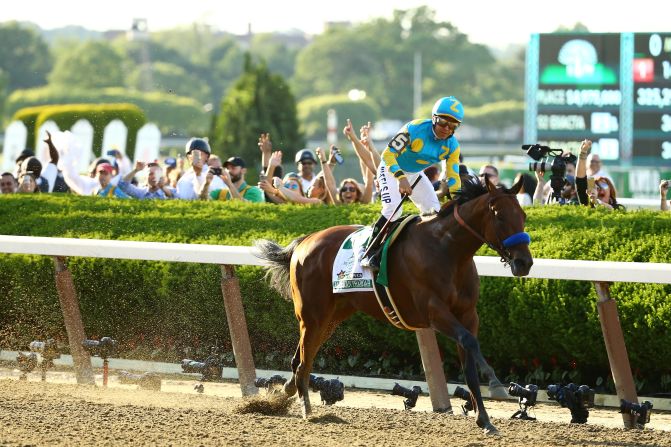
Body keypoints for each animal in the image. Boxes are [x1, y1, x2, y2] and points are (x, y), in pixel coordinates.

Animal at [255, 178, 532, 434]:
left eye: (523, 215)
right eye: (499, 216)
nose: (524, 262)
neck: (447, 251)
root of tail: (305, 241)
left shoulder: (468, 314)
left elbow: (469, 362)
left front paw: (484, 419)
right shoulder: (433, 311)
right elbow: (469, 341)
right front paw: (496, 383)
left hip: (332, 317)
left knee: (300, 358)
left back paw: (289, 388)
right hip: (312, 315)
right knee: (304, 361)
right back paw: (306, 409)